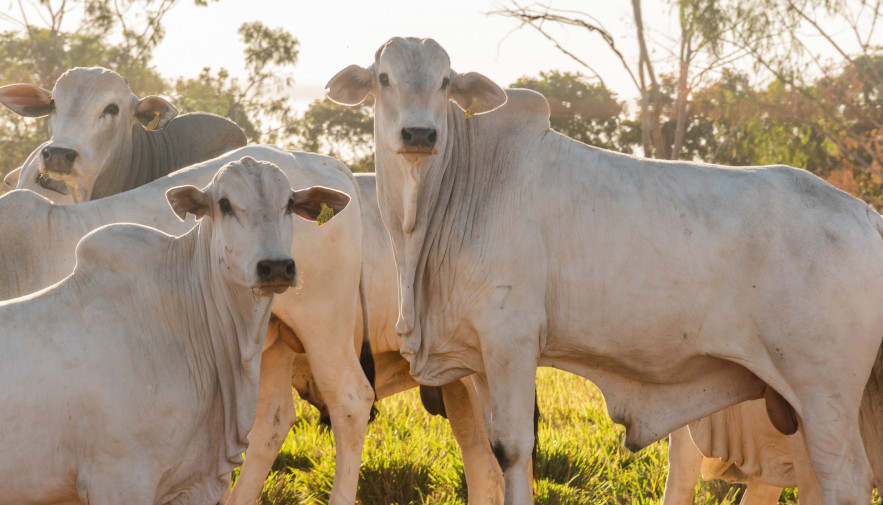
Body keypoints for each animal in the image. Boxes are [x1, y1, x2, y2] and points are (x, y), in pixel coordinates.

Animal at [0, 143, 376, 504]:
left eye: (289, 204)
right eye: (224, 204)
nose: (276, 266)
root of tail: (319, 159)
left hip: (324, 323)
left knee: (350, 399)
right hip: (277, 342)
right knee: (274, 419)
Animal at [328, 36, 883, 504]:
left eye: (445, 81)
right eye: (383, 78)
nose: (420, 133)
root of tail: (865, 214)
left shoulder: (511, 338)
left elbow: (512, 448)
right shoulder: (480, 355)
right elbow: (491, 450)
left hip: (824, 392)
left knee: (845, 479)